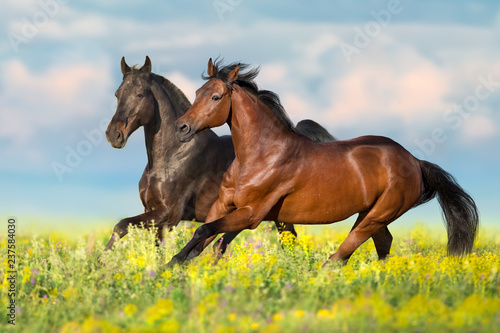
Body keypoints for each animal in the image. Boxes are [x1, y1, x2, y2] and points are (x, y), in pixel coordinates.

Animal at [102, 56, 336, 254]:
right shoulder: (153, 212)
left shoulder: (169, 214)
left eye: (140, 94)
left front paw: (101, 264)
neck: (170, 157)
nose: (114, 135)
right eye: (117, 94)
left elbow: (121, 226)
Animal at [166, 58, 478, 266]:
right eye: (197, 93)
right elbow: (204, 238)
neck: (259, 156)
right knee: (382, 244)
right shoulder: (223, 206)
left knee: (339, 257)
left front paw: (168, 271)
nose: (181, 128)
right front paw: (172, 269)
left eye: (216, 96)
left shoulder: (252, 213)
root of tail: (415, 161)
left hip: (378, 215)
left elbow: (205, 232)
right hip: (370, 214)